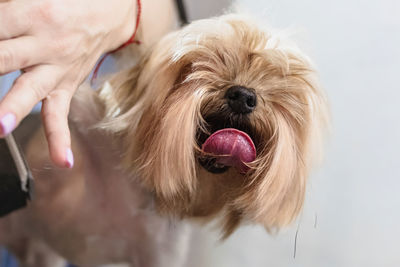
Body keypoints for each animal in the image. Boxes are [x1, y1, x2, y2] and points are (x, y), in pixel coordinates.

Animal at [0, 15, 328, 267]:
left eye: (273, 77)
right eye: (194, 65)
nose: (243, 95)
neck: (137, 186)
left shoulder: (160, 252)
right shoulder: (85, 128)